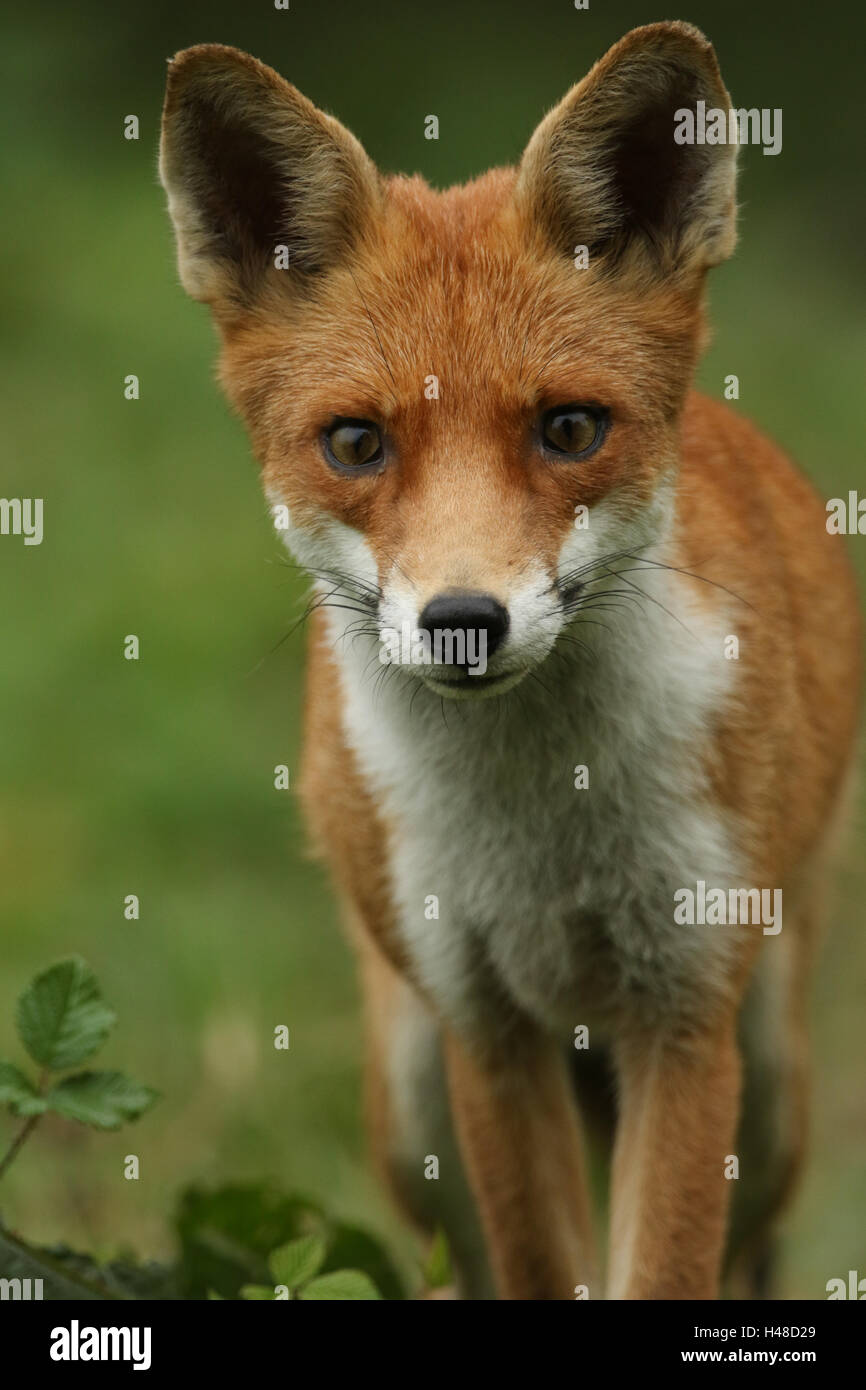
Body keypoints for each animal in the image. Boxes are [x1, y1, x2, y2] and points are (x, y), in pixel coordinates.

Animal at [161, 21, 861, 1301]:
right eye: (355, 443)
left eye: (568, 430)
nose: (460, 618)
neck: (546, 822)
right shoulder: (484, 1026)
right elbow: (542, 1265)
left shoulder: (682, 1015)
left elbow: (661, 1272)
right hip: (409, 1097)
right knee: (452, 1264)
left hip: (773, 1079)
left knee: (750, 1252)